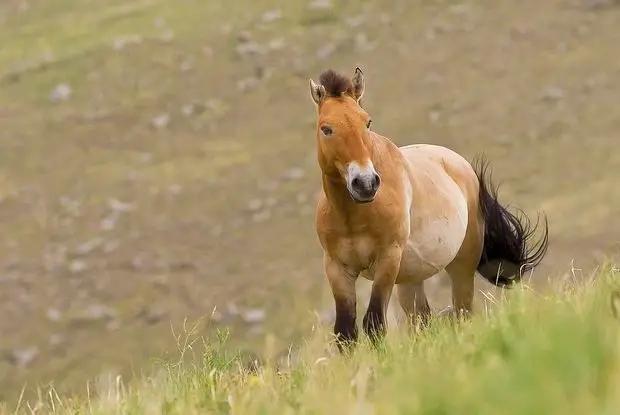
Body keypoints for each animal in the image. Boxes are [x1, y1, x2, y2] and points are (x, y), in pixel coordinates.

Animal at [310, 67, 548, 348]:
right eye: (326, 129)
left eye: (367, 122)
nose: (365, 183)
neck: (354, 216)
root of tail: (462, 165)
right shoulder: (337, 268)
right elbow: (345, 334)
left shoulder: (388, 259)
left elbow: (374, 324)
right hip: (410, 281)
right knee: (422, 322)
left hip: (460, 266)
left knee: (462, 312)